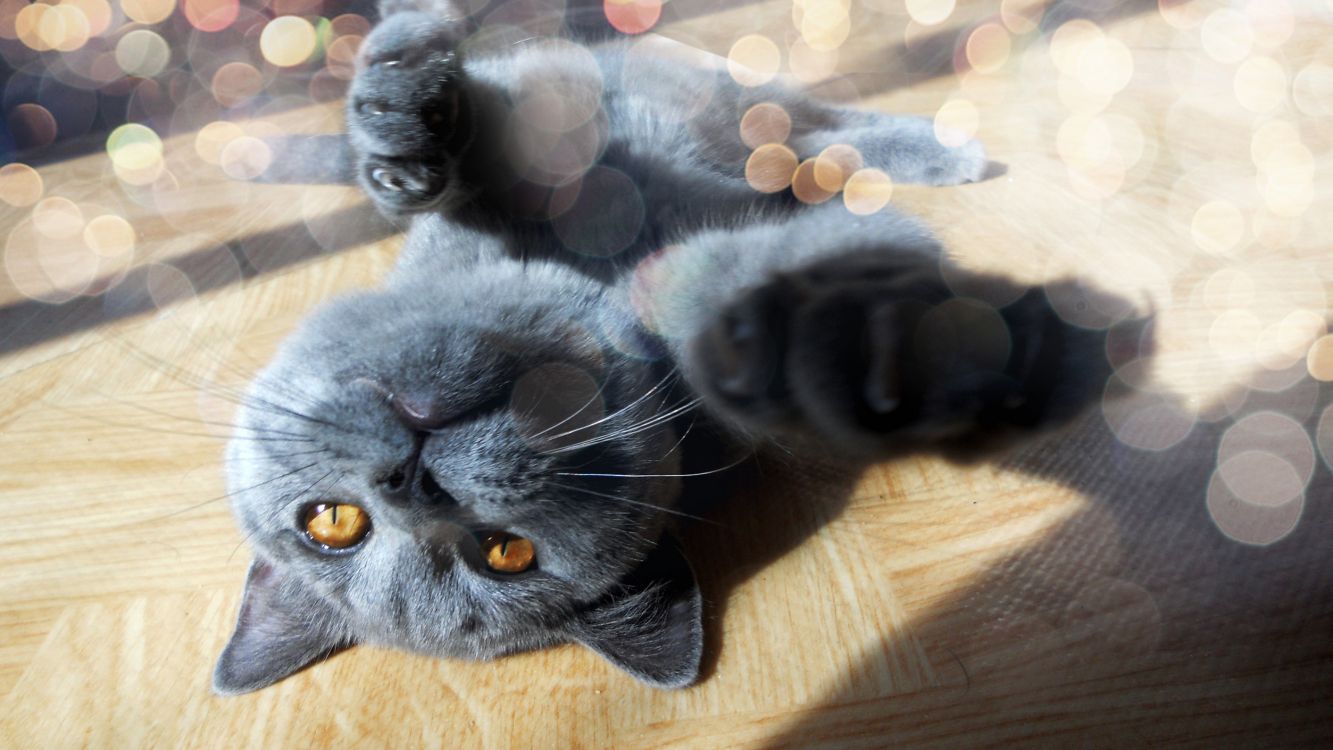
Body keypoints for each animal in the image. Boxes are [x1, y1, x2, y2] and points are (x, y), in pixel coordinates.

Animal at [213, 7, 1119, 698]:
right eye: (506, 553)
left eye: (329, 523)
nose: (407, 482)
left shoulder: (531, 154)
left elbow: (481, 158)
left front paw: (403, 126)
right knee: (813, 149)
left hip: (721, 86)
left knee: (809, 119)